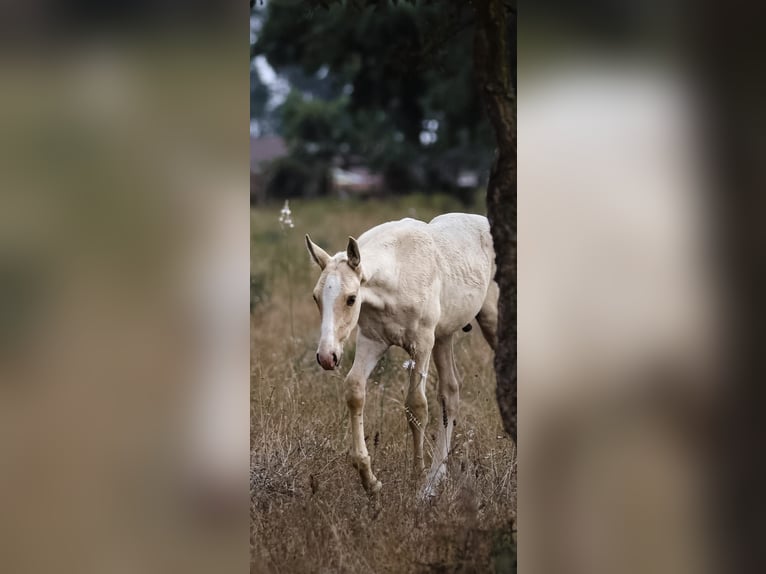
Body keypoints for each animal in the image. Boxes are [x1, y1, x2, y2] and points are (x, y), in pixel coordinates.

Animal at [306, 214, 498, 498]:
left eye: (351, 298)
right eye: (316, 297)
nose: (327, 356)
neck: (397, 272)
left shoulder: (422, 344)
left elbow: (416, 406)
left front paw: (417, 479)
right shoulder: (372, 341)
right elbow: (355, 390)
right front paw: (370, 480)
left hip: (488, 321)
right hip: (444, 337)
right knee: (450, 393)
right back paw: (435, 479)